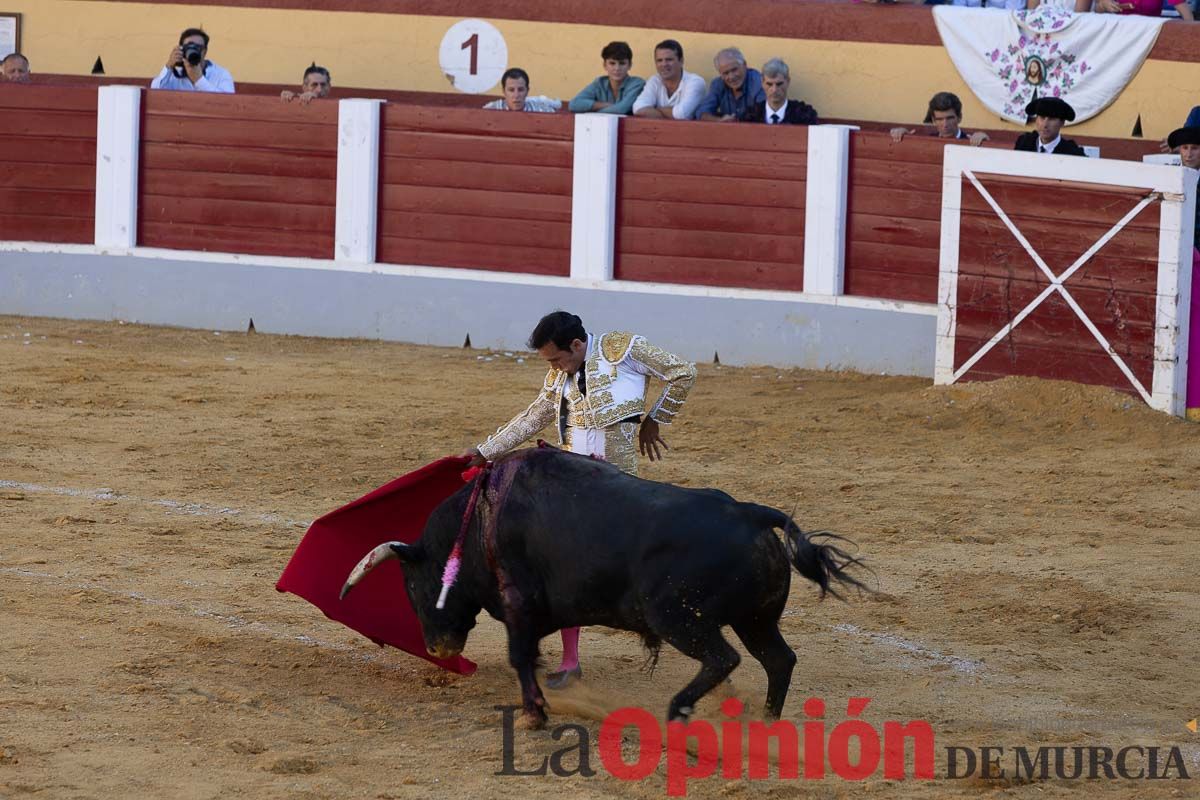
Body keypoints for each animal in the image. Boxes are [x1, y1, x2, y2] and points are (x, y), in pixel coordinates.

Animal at [343, 448, 868, 729]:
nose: (438, 648)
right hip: (755, 618)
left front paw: (534, 714)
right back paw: (765, 722)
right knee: (778, 659)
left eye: (413, 586)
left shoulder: (519, 604)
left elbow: (520, 656)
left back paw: (677, 712)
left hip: (679, 617)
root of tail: (751, 513)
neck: (477, 522)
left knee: (724, 659)